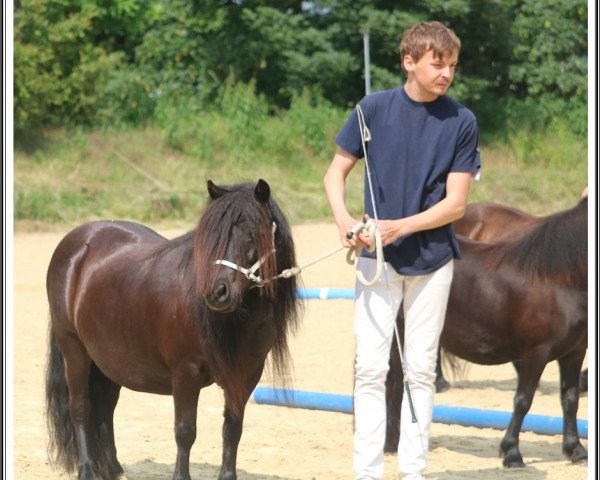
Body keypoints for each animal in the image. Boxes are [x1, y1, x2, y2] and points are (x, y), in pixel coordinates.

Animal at [44, 179, 302, 480]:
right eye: (210, 234)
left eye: (253, 233)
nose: (217, 293)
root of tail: (76, 239)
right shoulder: (185, 374)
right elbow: (185, 431)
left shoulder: (247, 375)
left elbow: (232, 429)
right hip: (73, 348)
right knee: (81, 407)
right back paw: (86, 470)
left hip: (108, 358)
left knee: (105, 407)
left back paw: (113, 469)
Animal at [384, 198, 584, 464]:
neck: (558, 279)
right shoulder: (536, 353)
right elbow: (523, 400)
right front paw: (511, 453)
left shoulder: (575, 353)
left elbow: (570, 399)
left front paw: (576, 450)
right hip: (401, 338)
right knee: (395, 386)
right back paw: (392, 444)